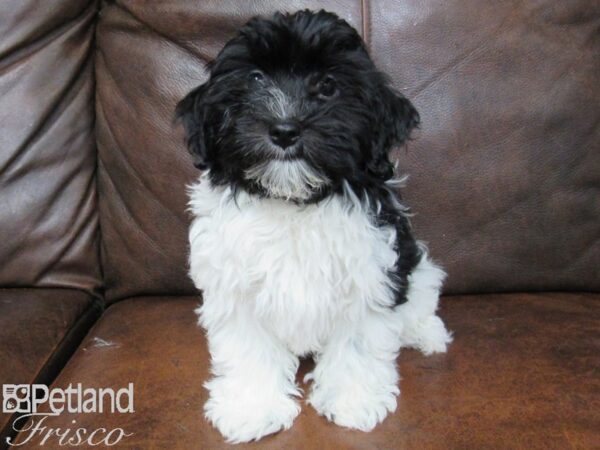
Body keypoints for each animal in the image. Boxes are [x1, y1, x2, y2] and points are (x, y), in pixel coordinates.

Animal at [176, 9, 452, 442]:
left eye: (327, 85)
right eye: (256, 78)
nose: (285, 130)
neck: (295, 202)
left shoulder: (370, 274)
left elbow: (357, 344)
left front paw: (354, 402)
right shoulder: (235, 287)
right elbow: (249, 348)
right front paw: (251, 408)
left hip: (413, 263)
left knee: (422, 293)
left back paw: (426, 333)